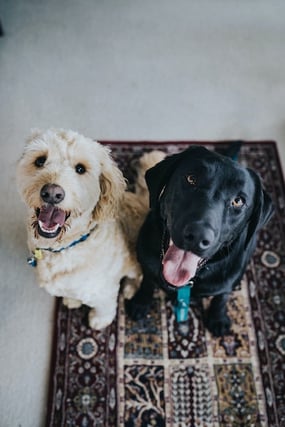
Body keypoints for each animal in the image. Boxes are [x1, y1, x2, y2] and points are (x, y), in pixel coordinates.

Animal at [17, 129, 164, 330]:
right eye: (40, 160)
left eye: (80, 169)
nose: (52, 193)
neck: (65, 247)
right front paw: (72, 300)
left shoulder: (103, 290)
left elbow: (105, 307)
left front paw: (99, 320)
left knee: (139, 276)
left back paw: (129, 289)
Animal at [126, 145, 272, 336]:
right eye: (191, 179)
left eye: (238, 201)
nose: (197, 236)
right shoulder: (146, 261)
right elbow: (147, 281)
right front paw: (141, 302)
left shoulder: (228, 281)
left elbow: (222, 297)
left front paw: (218, 318)